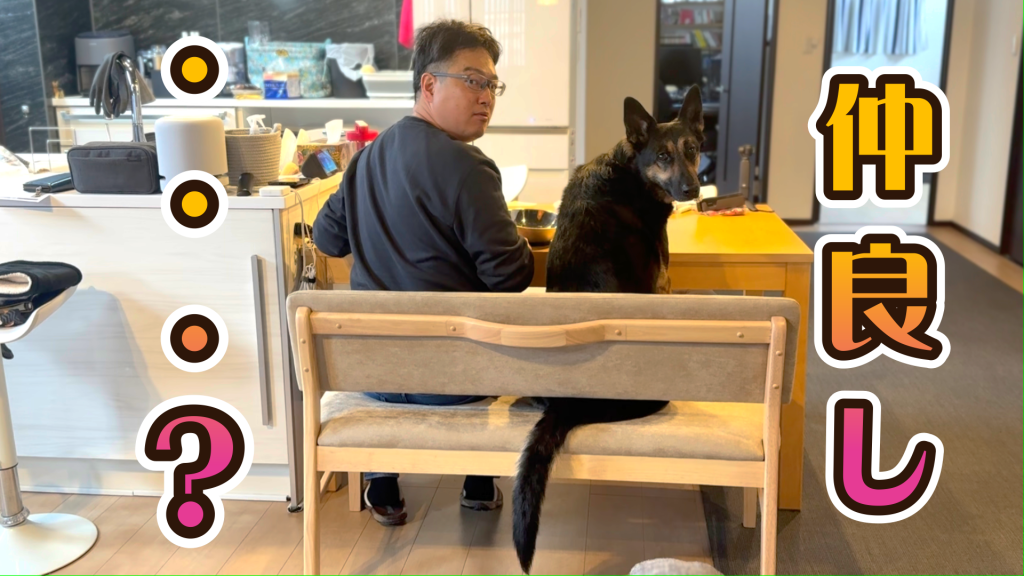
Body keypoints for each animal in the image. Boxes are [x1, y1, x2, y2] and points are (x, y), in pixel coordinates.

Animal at [512, 86, 705, 574]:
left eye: (692, 150)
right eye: (662, 155)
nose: (693, 190)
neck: (630, 169)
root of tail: (569, 403)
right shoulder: (661, 284)